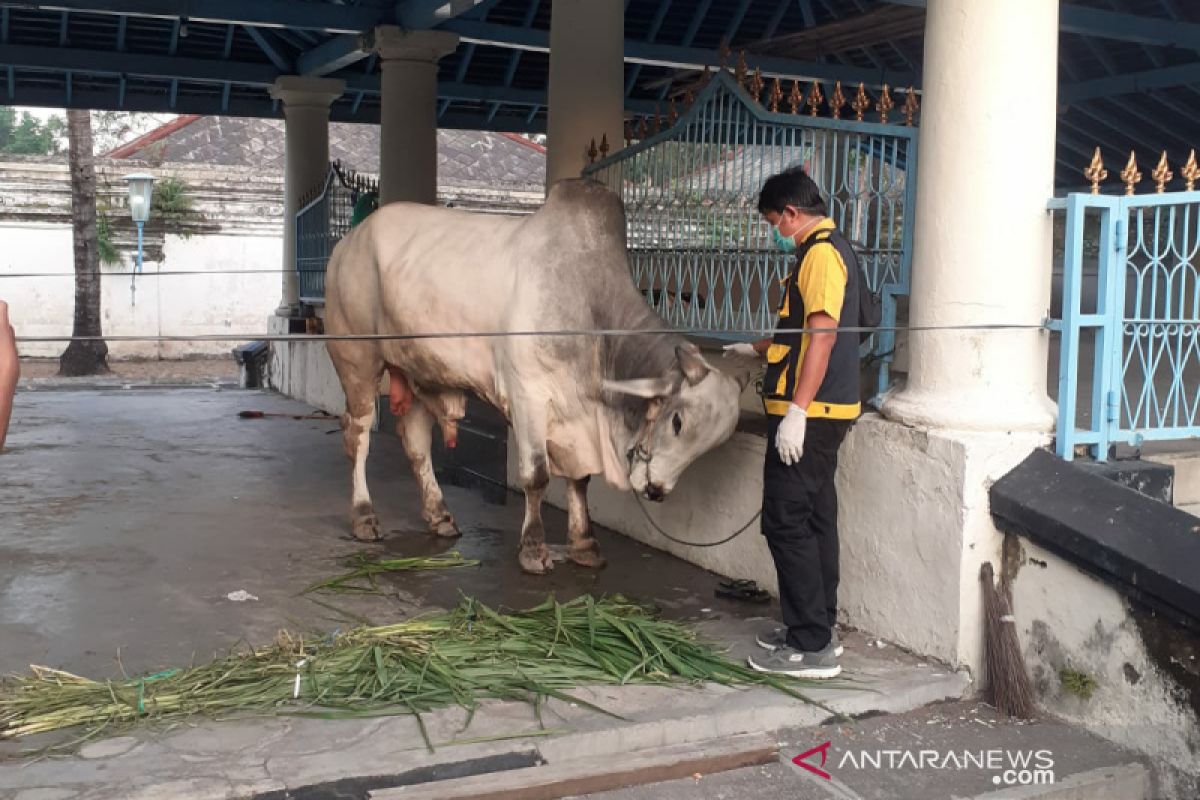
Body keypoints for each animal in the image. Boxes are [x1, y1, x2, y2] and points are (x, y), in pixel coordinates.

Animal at [324, 178, 744, 573]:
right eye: (677, 421)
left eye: (713, 446)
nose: (656, 490)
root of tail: (348, 242)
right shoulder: (527, 394)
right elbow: (536, 475)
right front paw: (534, 548)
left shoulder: (574, 416)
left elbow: (579, 481)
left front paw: (584, 545)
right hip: (357, 361)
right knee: (357, 436)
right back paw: (364, 517)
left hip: (418, 370)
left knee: (415, 444)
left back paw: (440, 515)